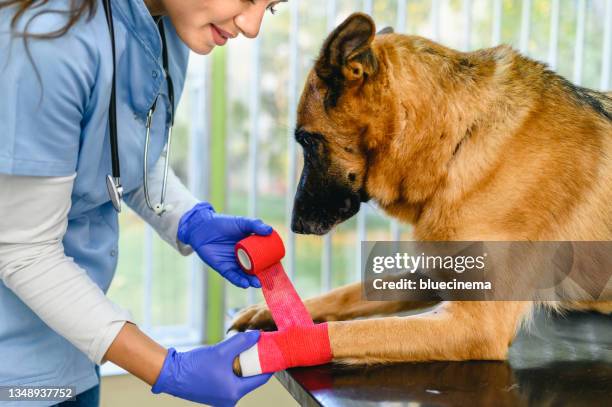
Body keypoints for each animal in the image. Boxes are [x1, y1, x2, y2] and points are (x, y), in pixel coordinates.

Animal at [230, 14, 612, 366]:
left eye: (308, 141)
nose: (294, 225)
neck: (460, 139)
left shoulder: (476, 323)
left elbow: (359, 330)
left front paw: (261, 351)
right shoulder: (434, 272)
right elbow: (349, 292)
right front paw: (264, 311)